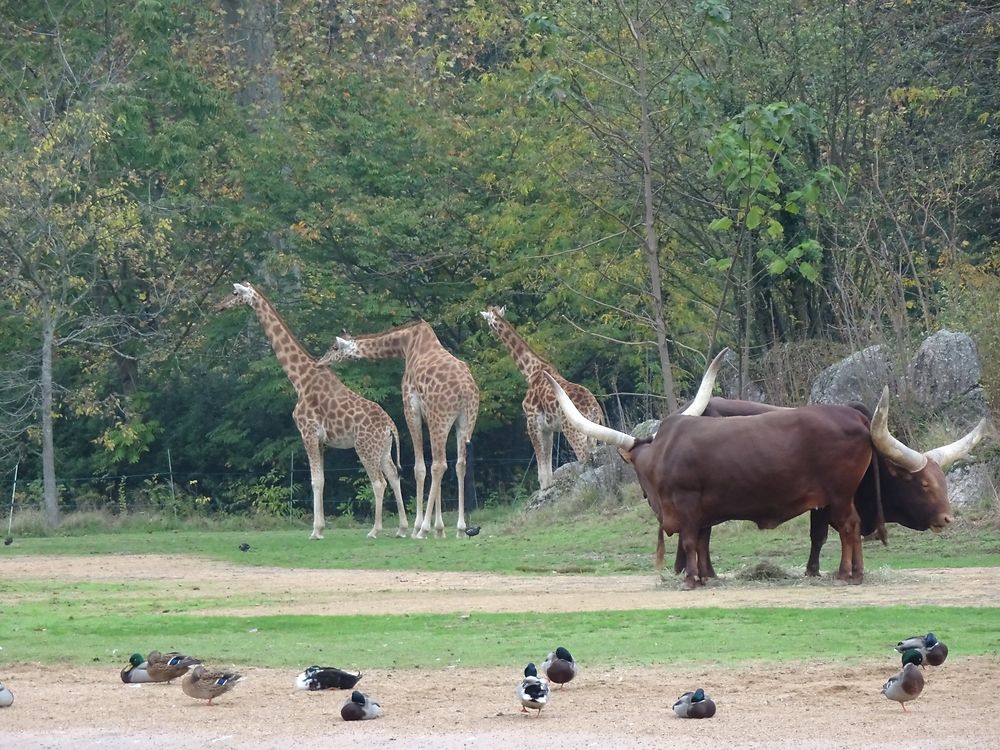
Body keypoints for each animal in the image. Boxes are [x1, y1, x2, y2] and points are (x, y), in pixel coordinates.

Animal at [217, 284, 408, 540]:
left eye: (235, 293)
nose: (218, 306)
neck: (300, 379)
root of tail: (391, 427)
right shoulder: (321, 440)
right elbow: (322, 479)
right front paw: (321, 527)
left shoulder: (307, 432)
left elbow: (315, 480)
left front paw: (316, 531)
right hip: (383, 449)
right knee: (394, 477)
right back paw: (402, 529)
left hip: (365, 447)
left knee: (379, 482)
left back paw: (374, 530)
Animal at [318, 324, 478, 540]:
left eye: (334, 348)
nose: (319, 362)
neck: (405, 344)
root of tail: (467, 390)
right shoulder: (426, 414)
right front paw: (440, 529)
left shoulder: (411, 409)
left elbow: (419, 468)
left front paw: (418, 527)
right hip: (463, 422)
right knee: (459, 464)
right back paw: (461, 529)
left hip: (441, 418)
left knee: (439, 465)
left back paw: (422, 529)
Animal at [480, 306, 604, 494]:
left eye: (488, 320)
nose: (490, 332)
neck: (530, 371)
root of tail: (594, 408)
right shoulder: (548, 428)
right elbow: (547, 456)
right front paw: (550, 484)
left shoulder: (532, 423)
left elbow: (540, 459)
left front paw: (544, 487)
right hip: (591, 432)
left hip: (574, 431)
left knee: (584, 458)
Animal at [548, 352, 884, 592]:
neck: (660, 455)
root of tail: (852, 415)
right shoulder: (698, 512)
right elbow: (699, 541)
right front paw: (701, 577)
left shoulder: (686, 505)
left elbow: (689, 541)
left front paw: (690, 581)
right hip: (840, 496)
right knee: (850, 527)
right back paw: (853, 572)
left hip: (839, 494)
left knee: (849, 527)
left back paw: (848, 575)